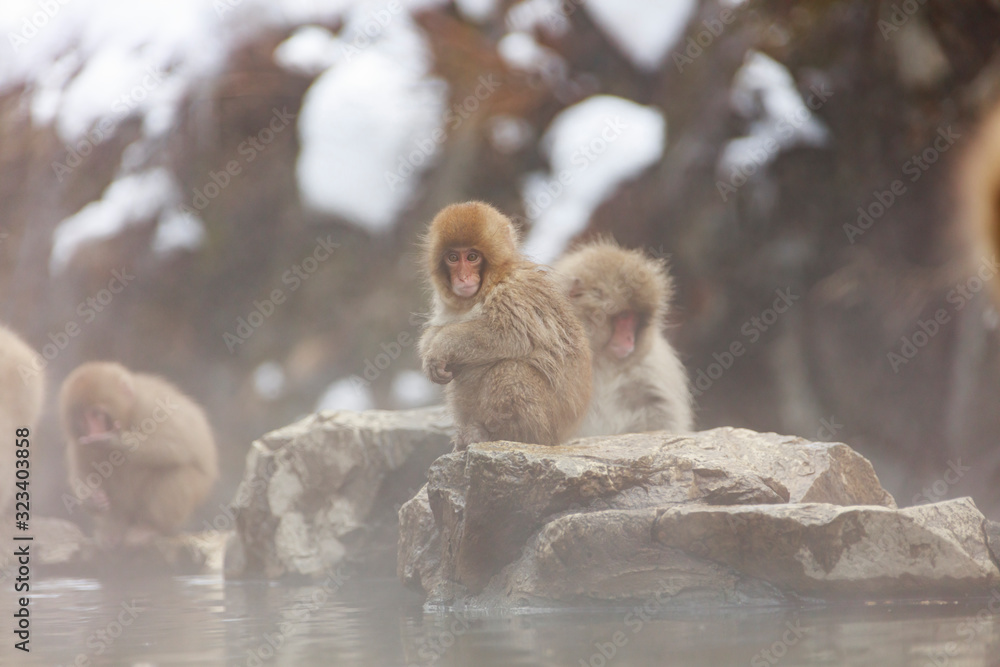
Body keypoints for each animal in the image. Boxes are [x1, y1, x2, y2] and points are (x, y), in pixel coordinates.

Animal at [59, 362, 218, 546]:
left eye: (97, 413)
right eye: (83, 417)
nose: (93, 431)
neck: (128, 415)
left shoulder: (152, 405)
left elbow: (179, 443)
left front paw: (116, 440)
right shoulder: (80, 441)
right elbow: (84, 471)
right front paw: (91, 499)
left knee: (178, 472)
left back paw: (149, 527)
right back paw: (114, 528)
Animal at [418, 201, 592, 449]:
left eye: (472, 257)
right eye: (453, 257)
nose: (462, 278)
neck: (491, 282)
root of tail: (562, 437)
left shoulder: (514, 293)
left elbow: (510, 334)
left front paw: (440, 346)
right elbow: (437, 329)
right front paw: (429, 349)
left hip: (548, 427)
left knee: (511, 370)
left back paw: (497, 435)